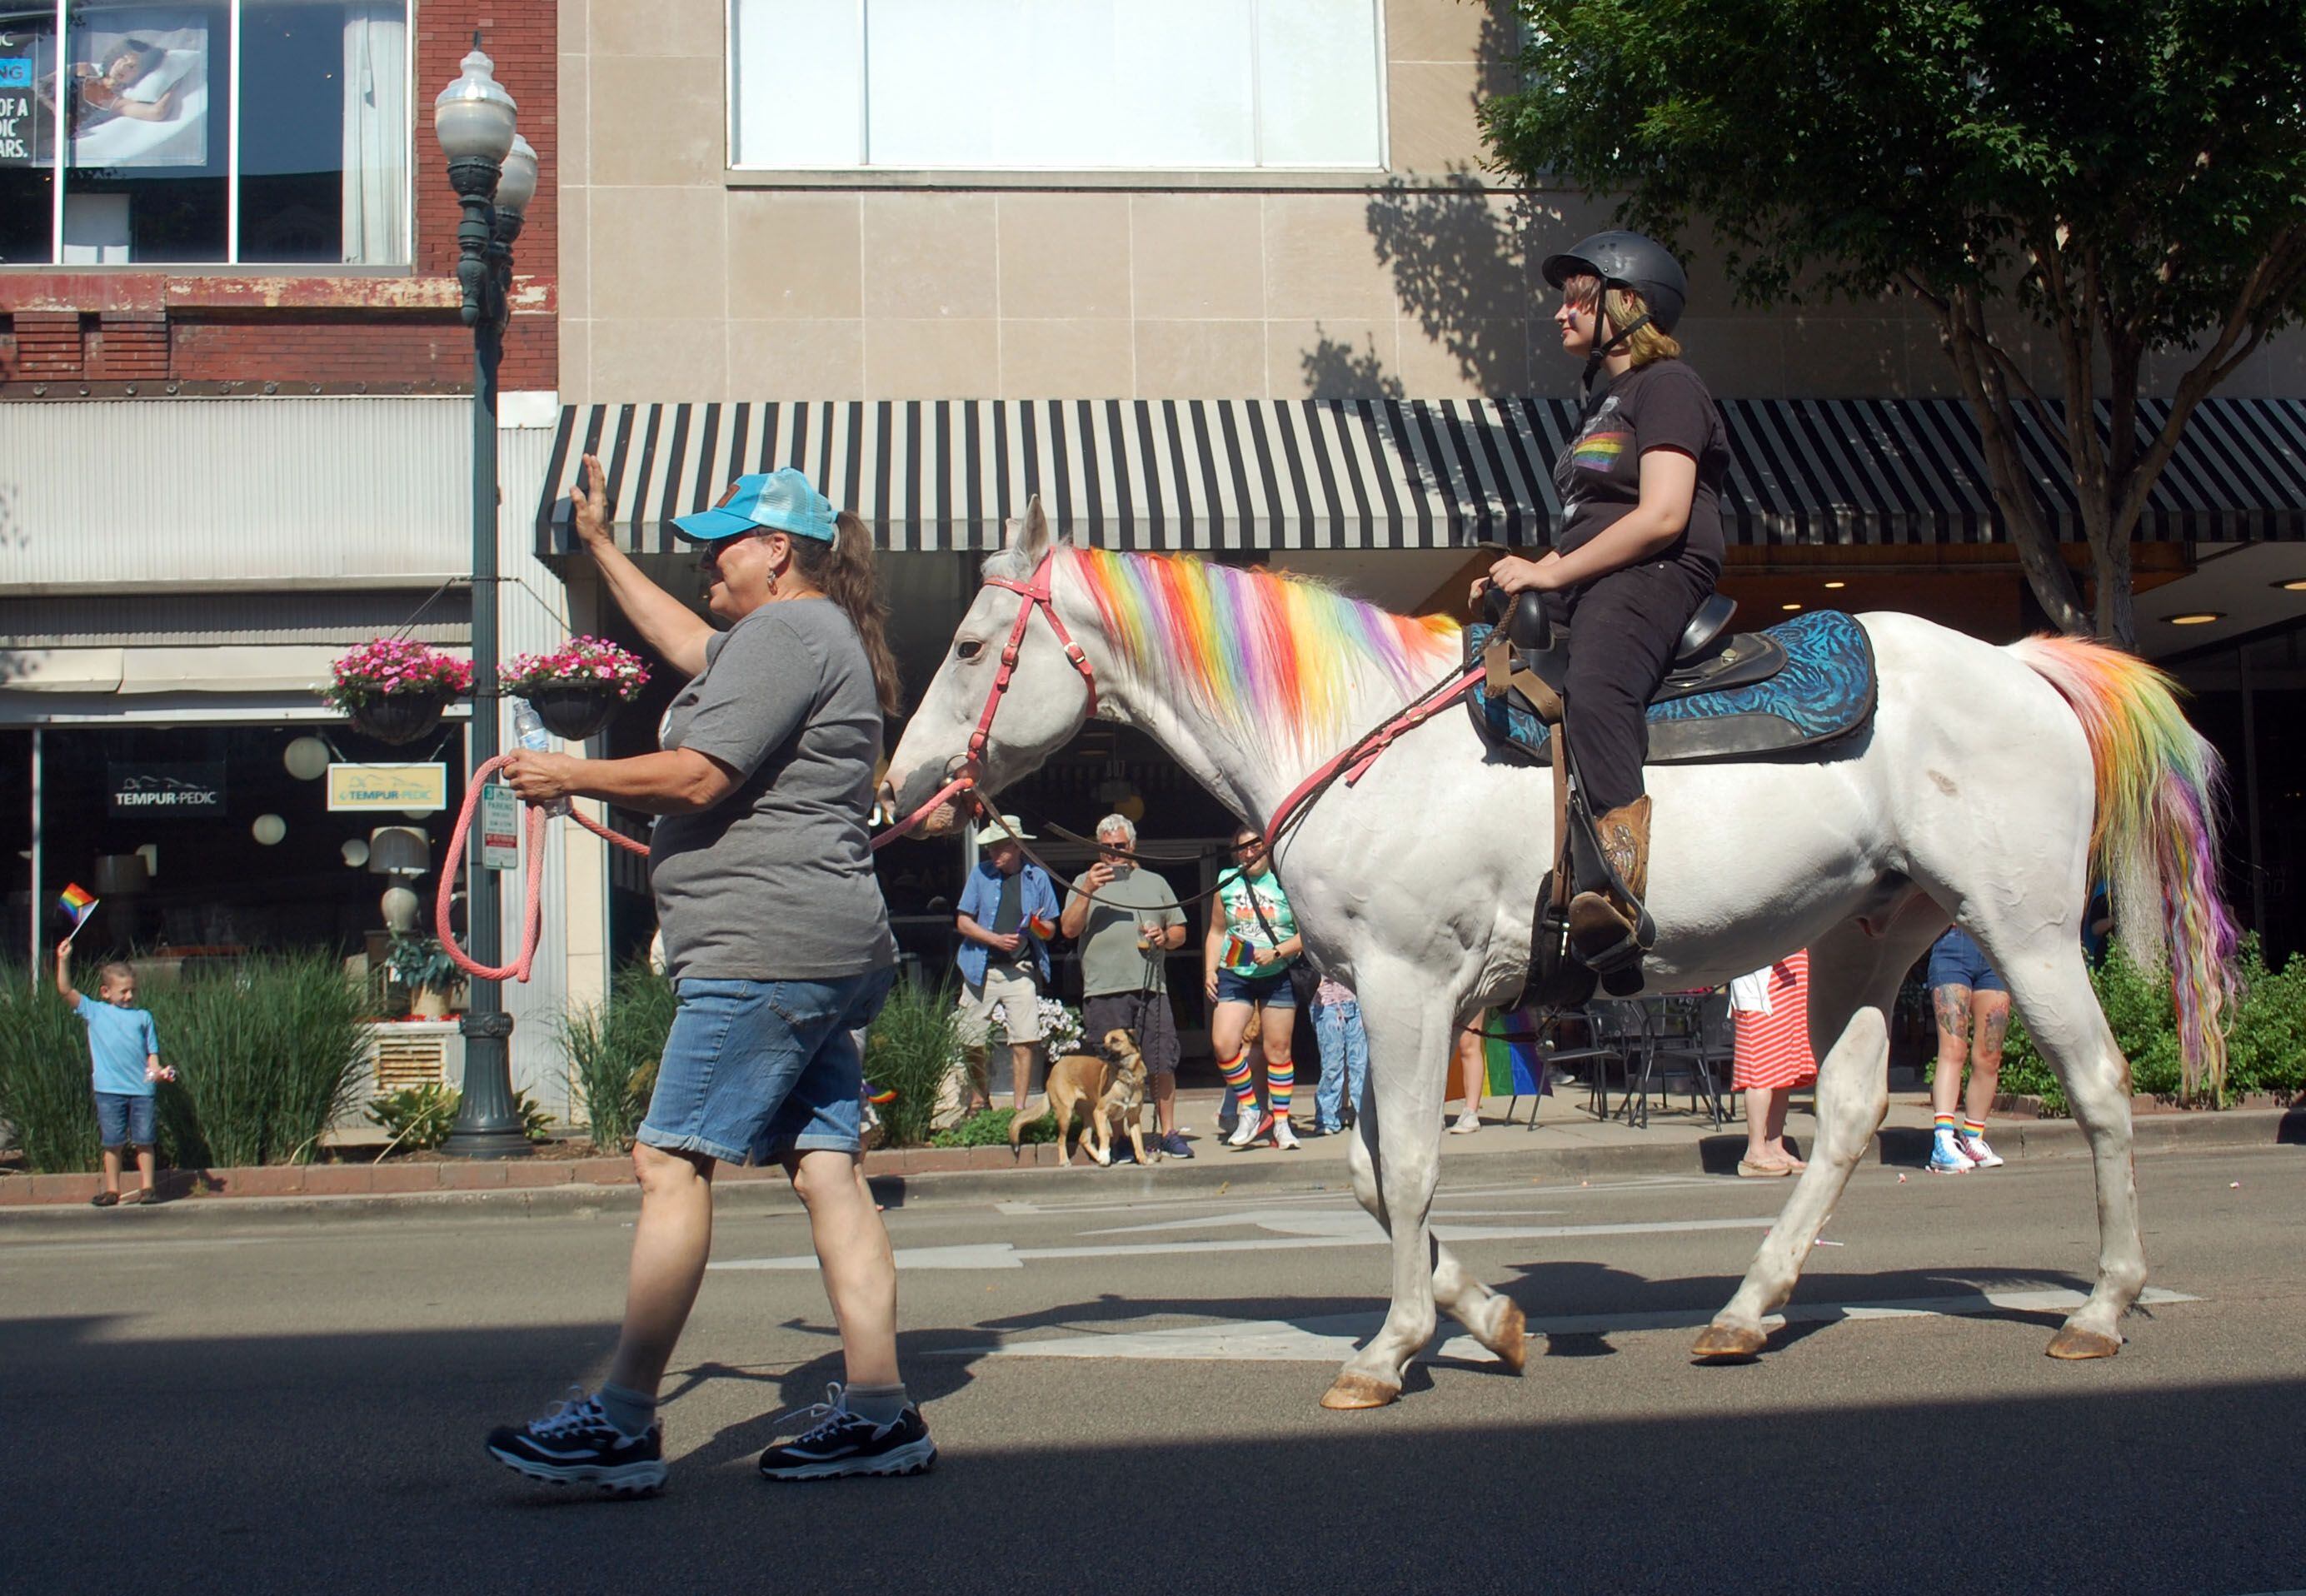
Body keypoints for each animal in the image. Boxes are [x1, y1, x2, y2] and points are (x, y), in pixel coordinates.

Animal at [1010, 1028, 1153, 1167]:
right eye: (1104, 1039)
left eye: (1114, 1040)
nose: (1095, 1047)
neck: (1126, 1076)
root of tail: (1056, 1067)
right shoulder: (1100, 1113)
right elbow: (1105, 1134)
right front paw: (1105, 1156)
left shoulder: (1134, 1118)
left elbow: (1138, 1141)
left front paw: (1143, 1159)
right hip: (1067, 1114)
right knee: (1061, 1139)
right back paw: (1066, 1160)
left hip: (1090, 1114)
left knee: (1083, 1138)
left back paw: (1097, 1156)